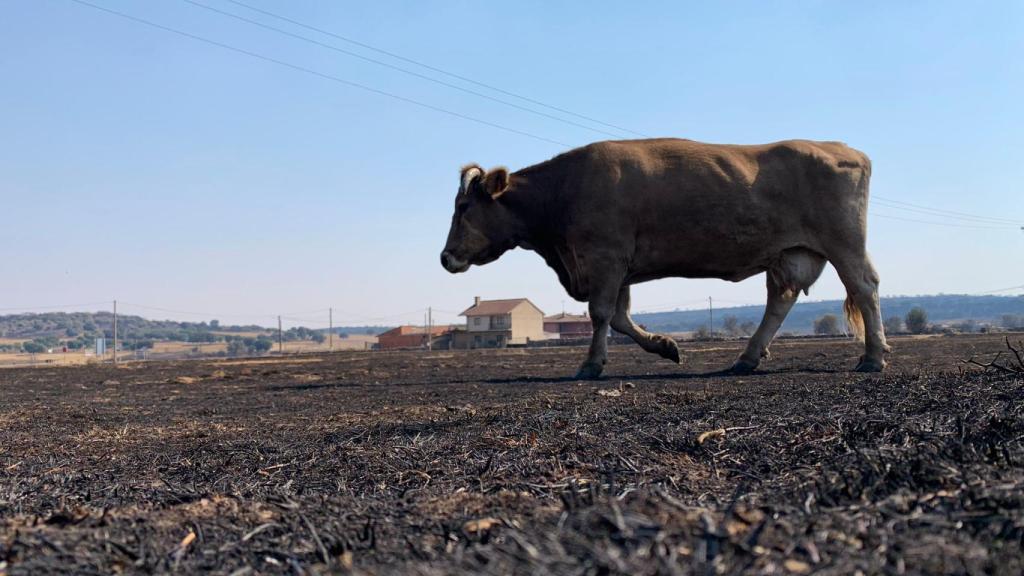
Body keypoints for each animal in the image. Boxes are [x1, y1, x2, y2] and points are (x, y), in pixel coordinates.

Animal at [440, 138, 890, 378]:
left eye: (463, 207)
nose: (446, 257)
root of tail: (842, 148)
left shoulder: (604, 258)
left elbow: (600, 315)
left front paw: (591, 364)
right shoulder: (618, 268)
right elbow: (620, 317)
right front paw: (665, 345)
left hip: (844, 242)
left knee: (864, 287)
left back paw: (873, 356)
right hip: (791, 254)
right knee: (779, 301)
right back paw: (746, 358)